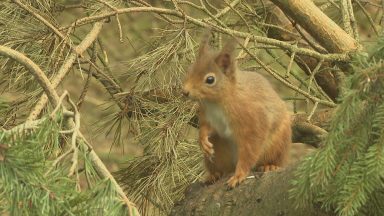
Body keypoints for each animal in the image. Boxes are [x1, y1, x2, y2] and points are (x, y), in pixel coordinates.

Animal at [182, 36, 292, 188]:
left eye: (210, 79)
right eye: (189, 69)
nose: (185, 92)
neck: (216, 103)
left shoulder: (253, 118)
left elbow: (250, 149)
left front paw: (239, 175)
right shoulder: (208, 116)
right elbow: (205, 128)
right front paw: (202, 139)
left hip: (278, 144)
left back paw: (270, 166)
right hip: (218, 154)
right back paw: (214, 174)